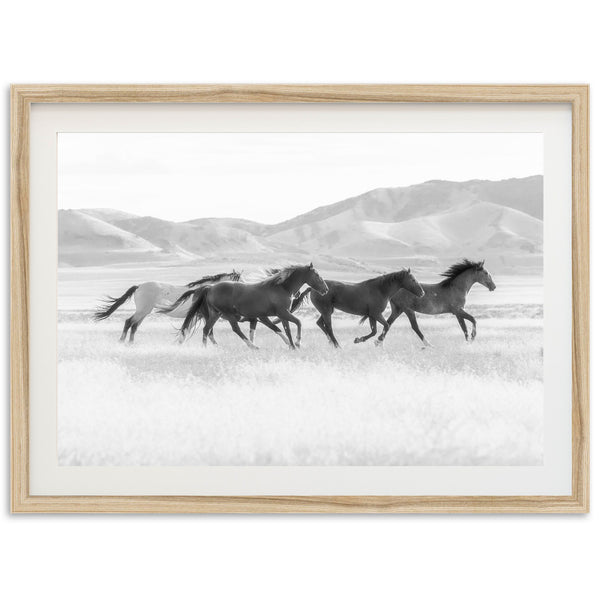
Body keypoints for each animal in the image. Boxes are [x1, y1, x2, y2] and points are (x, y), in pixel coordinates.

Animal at [92, 270, 240, 342]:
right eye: (239, 281)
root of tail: (139, 286)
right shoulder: (202, 315)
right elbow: (205, 332)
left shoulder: (200, 316)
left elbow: (199, 331)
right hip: (142, 311)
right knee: (129, 322)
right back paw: (122, 342)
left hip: (144, 312)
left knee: (134, 326)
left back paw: (130, 344)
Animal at [178, 264, 328, 352]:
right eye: (317, 275)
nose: (326, 290)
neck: (281, 288)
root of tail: (209, 287)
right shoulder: (281, 313)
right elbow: (297, 323)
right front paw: (297, 343)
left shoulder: (277, 315)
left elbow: (284, 329)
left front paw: (291, 346)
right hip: (228, 314)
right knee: (235, 329)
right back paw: (252, 346)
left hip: (215, 314)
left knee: (207, 329)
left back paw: (206, 348)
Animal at [292, 270, 424, 350]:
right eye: (413, 280)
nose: (422, 293)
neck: (380, 290)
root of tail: (313, 289)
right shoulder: (376, 314)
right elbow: (386, 326)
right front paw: (376, 341)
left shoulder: (371, 315)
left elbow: (374, 331)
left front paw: (359, 340)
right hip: (326, 311)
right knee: (328, 327)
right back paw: (337, 345)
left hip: (327, 310)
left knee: (320, 323)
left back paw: (331, 343)